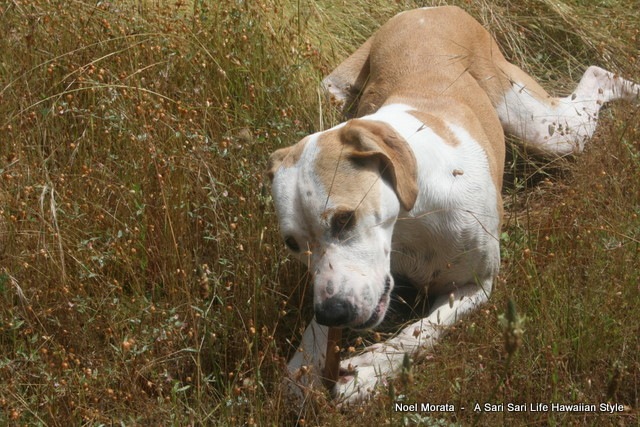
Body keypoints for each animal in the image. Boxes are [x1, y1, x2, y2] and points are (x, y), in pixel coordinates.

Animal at [267, 6, 639, 406]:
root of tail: (432, 9)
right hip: (333, 89)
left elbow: (424, 330)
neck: (412, 221)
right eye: (292, 244)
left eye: (344, 219)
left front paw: (369, 370)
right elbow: (309, 348)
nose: (333, 314)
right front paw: (304, 371)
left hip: (547, 129)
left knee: (597, 76)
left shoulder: (477, 285)